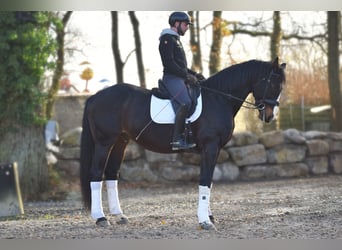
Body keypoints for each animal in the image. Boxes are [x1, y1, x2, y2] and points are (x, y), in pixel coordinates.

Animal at [80, 57, 286, 229]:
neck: (218, 99)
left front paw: (209, 216)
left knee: (111, 174)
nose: (270, 116)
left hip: (120, 142)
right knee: (96, 173)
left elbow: (209, 182)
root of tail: (95, 97)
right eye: (273, 83)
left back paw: (119, 215)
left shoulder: (213, 150)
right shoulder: (210, 147)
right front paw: (205, 220)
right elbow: (205, 180)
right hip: (104, 143)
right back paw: (101, 217)